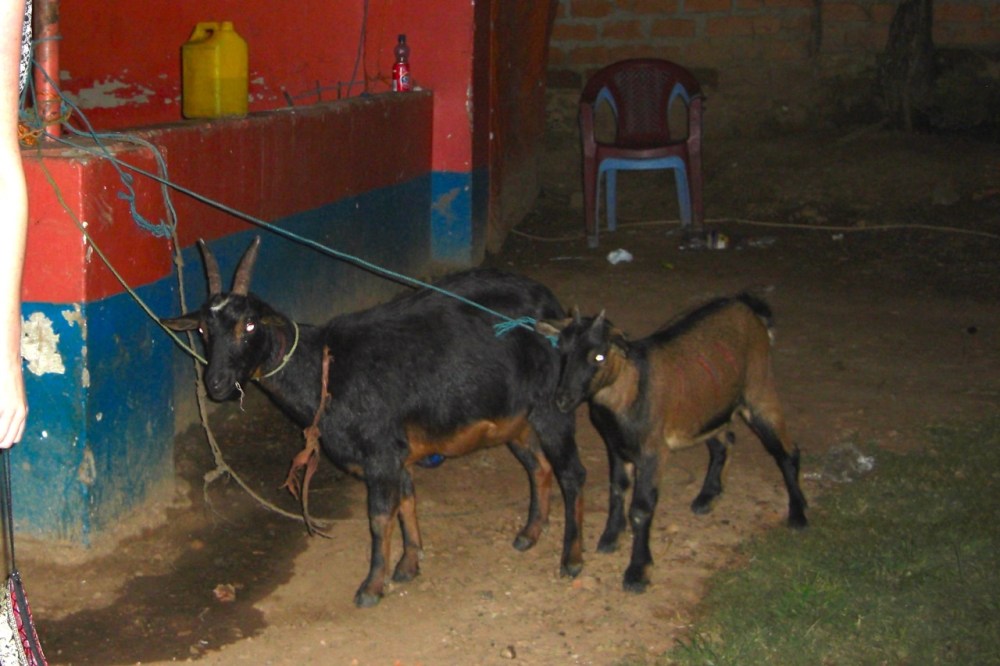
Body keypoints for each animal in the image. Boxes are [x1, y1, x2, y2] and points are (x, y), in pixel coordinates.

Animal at [162, 238, 587, 607]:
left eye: (249, 325)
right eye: (203, 329)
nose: (216, 384)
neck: (324, 369)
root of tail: (550, 304)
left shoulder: (380, 450)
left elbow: (380, 517)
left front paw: (371, 586)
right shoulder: (398, 452)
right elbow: (407, 502)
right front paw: (409, 564)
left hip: (551, 403)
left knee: (571, 473)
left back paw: (572, 558)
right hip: (515, 417)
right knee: (538, 466)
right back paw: (530, 533)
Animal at [536, 294, 807, 592]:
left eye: (599, 355)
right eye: (562, 350)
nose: (563, 399)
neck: (631, 388)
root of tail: (747, 305)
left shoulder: (653, 452)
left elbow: (641, 509)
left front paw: (638, 572)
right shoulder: (616, 446)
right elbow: (617, 489)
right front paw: (610, 538)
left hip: (759, 390)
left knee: (787, 451)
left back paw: (798, 514)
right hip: (707, 407)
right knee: (723, 442)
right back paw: (707, 497)